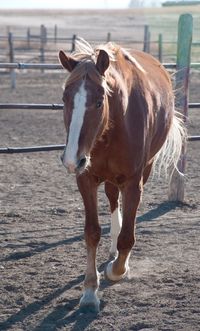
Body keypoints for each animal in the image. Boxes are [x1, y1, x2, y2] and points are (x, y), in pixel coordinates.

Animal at [58, 39, 185, 314]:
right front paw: (89, 292)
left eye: (99, 101)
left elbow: (128, 237)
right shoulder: (86, 179)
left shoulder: (133, 182)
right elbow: (92, 232)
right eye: (65, 98)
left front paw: (117, 269)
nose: (72, 159)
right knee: (112, 198)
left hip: (144, 170)